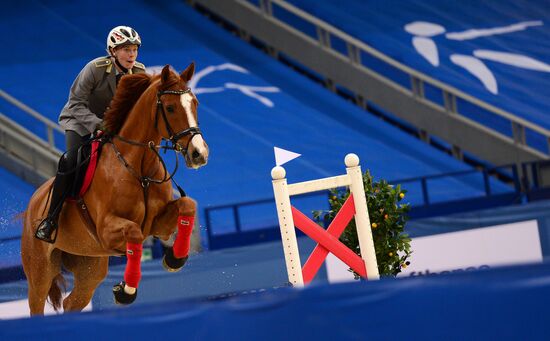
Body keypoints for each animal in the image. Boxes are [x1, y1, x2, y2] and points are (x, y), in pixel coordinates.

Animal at [20, 63, 208, 314]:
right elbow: (134, 233)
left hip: (90, 267)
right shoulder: (107, 230)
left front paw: (174, 259)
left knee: (72, 303)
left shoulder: (159, 225)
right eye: (170, 107)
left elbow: (188, 205)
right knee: (37, 303)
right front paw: (126, 291)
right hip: (40, 270)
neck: (139, 168)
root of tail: (34, 200)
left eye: (195, 103)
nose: (199, 153)